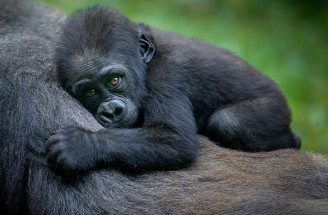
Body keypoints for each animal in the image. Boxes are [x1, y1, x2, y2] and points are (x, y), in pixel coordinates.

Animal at [46, 6, 300, 176]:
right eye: (89, 92)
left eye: (114, 80)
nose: (111, 111)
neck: (146, 62)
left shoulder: (167, 76)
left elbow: (175, 141)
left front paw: (83, 145)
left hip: (276, 108)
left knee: (230, 122)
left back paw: (293, 141)